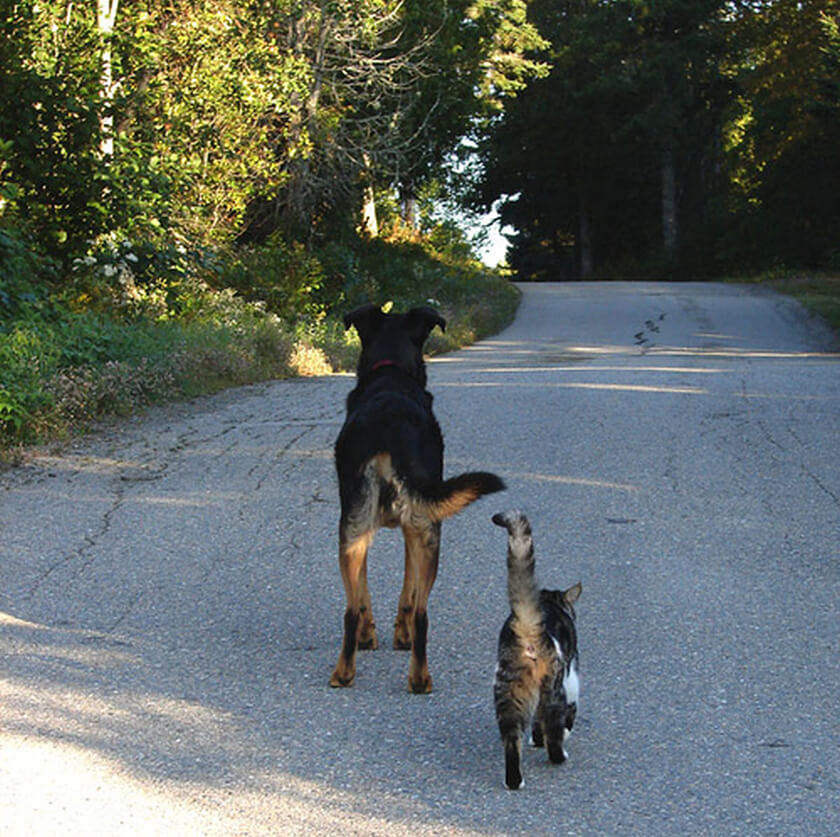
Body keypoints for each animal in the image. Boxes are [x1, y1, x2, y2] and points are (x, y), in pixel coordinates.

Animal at [330, 304, 502, 688]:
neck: (391, 371)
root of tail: (390, 432)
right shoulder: (409, 528)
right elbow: (403, 594)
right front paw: (392, 636)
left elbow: (373, 595)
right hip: (425, 531)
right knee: (419, 612)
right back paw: (415, 678)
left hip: (358, 529)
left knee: (353, 610)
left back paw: (349, 673)